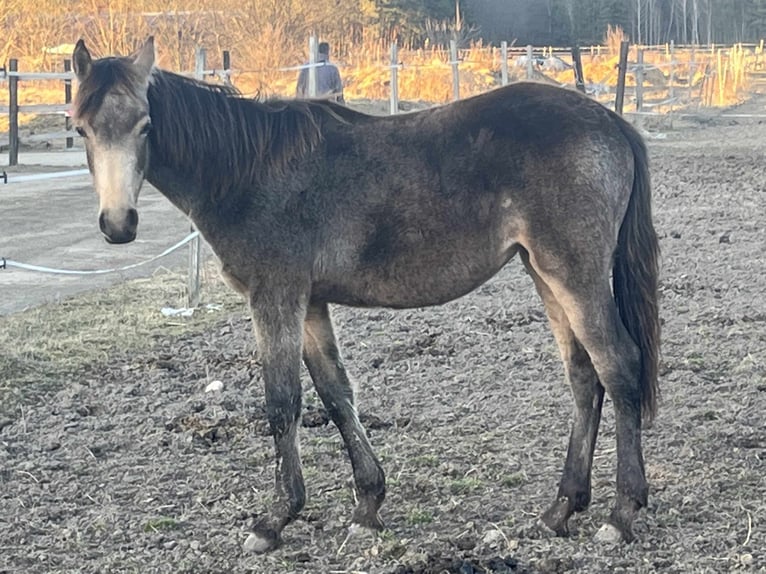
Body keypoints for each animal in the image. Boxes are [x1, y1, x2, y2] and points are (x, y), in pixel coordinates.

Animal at [70, 37, 660, 552]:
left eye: (145, 125)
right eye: (81, 129)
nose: (119, 225)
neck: (248, 172)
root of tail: (609, 121)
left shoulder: (275, 296)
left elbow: (282, 401)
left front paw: (274, 521)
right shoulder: (309, 303)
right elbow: (335, 394)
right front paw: (368, 504)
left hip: (575, 276)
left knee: (618, 366)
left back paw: (620, 514)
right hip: (544, 274)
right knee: (583, 377)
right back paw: (560, 509)